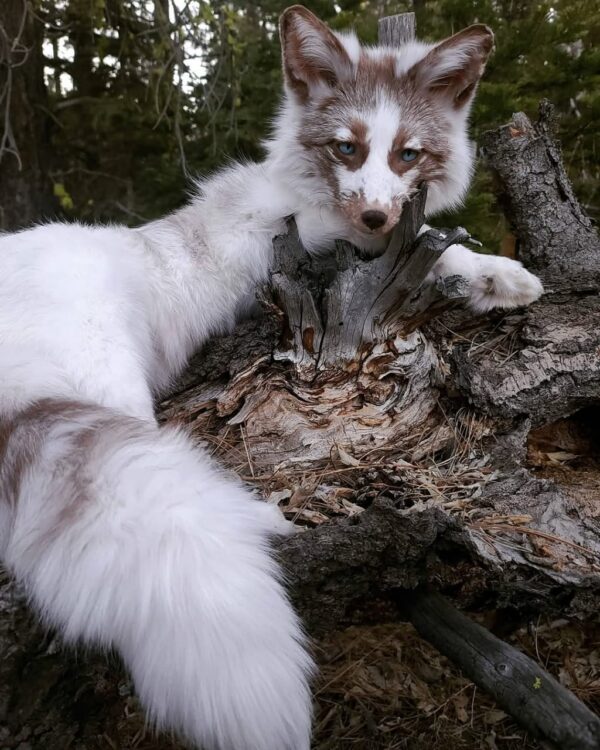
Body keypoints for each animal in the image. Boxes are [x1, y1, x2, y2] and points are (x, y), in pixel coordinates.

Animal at [0, 5, 543, 750]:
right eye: (346, 148)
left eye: (407, 154)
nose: (377, 214)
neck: (308, 190)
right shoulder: (308, 236)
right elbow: (434, 253)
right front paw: (489, 268)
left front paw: (496, 278)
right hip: (106, 382)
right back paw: (258, 517)